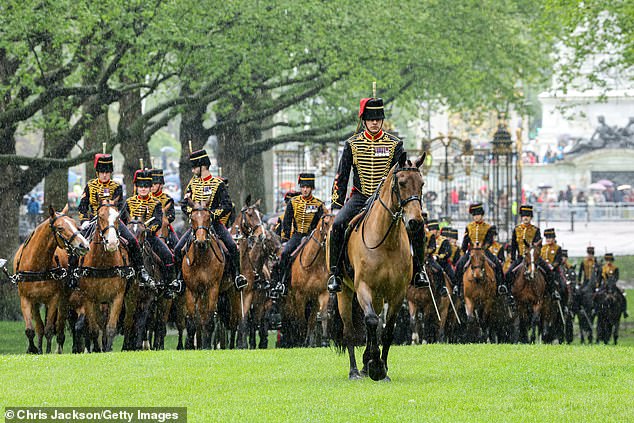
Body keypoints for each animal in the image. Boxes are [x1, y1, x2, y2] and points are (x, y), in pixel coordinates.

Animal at [12, 205, 89, 354]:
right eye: (60, 228)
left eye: (76, 225)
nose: (83, 245)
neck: (37, 265)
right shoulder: (26, 298)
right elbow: (31, 330)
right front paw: (34, 349)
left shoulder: (54, 299)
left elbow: (49, 329)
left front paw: (47, 352)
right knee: (41, 327)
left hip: (65, 299)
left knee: (60, 326)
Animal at [72, 200, 133, 352]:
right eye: (100, 217)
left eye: (118, 217)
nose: (111, 243)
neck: (103, 264)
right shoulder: (89, 298)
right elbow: (94, 329)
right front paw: (98, 349)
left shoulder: (117, 296)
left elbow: (111, 327)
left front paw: (107, 349)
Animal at [180, 200, 225, 350]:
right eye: (193, 218)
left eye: (208, 218)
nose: (200, 242)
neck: (201, 259)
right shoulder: (191, 290)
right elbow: (191, 323)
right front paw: (189, 345)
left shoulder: (212, 288)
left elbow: (209, 320)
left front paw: (206, 345)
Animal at [280, 212, 334, 348]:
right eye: (326, 223)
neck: (313, 264)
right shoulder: (300, 295)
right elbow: (301, 320)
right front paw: (302, 341)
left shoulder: (322, 293)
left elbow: (319, 317)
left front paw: (322, 341)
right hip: (288, 301)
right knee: (289, 319)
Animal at [328, 153, 422, 384]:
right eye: (402, 183)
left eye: (422, 184)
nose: (415, 222)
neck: (386, 241)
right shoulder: (364, 287)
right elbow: (370, 321)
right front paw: (375, 364)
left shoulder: (398, 293)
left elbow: (387, 330)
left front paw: (381, 368)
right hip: (345, 292)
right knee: (350, 330)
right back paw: (355, 370)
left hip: (379, 297)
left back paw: (365, 365)